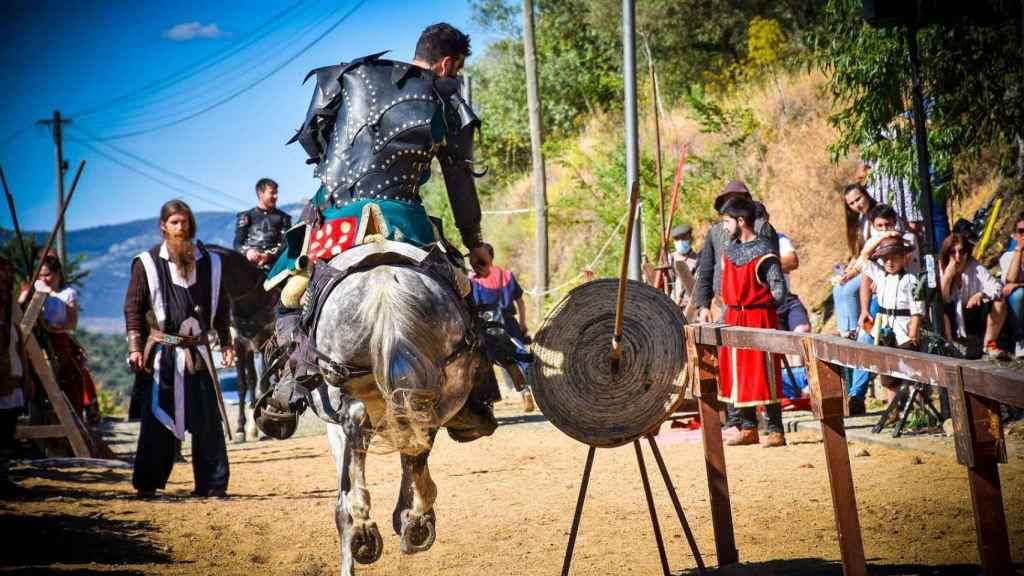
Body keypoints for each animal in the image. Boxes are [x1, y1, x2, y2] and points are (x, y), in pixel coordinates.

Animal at [203, 242, 278, 438]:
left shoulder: (265, 342)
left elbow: (264, 382)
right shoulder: (239, 346)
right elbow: (242, 385)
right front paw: (240, 428)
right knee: (252, 379)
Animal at [305, 251, 489, 573]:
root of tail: (382, 283)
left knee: (368, 424)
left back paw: (376, 522)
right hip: (446, 383)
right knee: (417, 426)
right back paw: (404, 518)